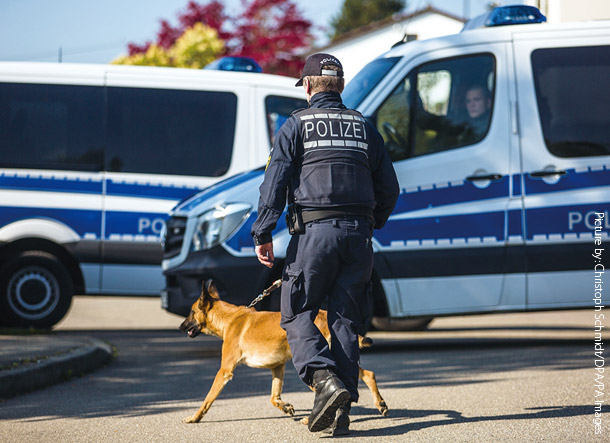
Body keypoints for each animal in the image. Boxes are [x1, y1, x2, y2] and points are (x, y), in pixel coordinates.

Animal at [178, 280, 388, 426]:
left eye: (191, 312)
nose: (180, 327)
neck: (229, 318)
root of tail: (324, 315)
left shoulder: (224, 371)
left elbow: (207, 399)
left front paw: (195, 417)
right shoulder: (277, 367)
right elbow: (273, 397)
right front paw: (285, 407)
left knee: (330, 389)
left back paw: (315, 418)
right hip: (339, 357)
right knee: (367, 374)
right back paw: (379, 404)